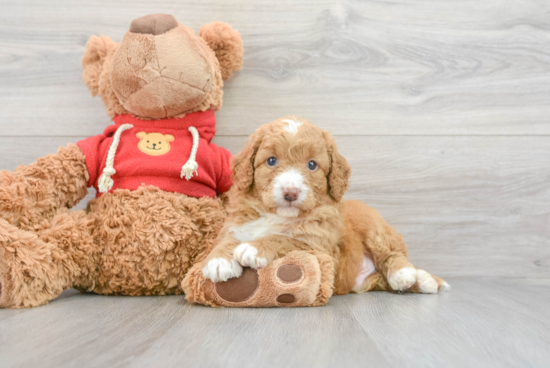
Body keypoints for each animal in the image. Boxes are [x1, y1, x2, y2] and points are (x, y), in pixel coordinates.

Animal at [201, 116, 450, 294]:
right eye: (271, 160)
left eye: (312, 165)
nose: (290, 192)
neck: (278, 216)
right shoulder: (237, 224)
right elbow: (226, 240)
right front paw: (219, 261)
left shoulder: (319, 246)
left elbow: (285, 238)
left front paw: (254, 247)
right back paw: (423, 281)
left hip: (375, 228)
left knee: (393, 253)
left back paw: (407, 275)